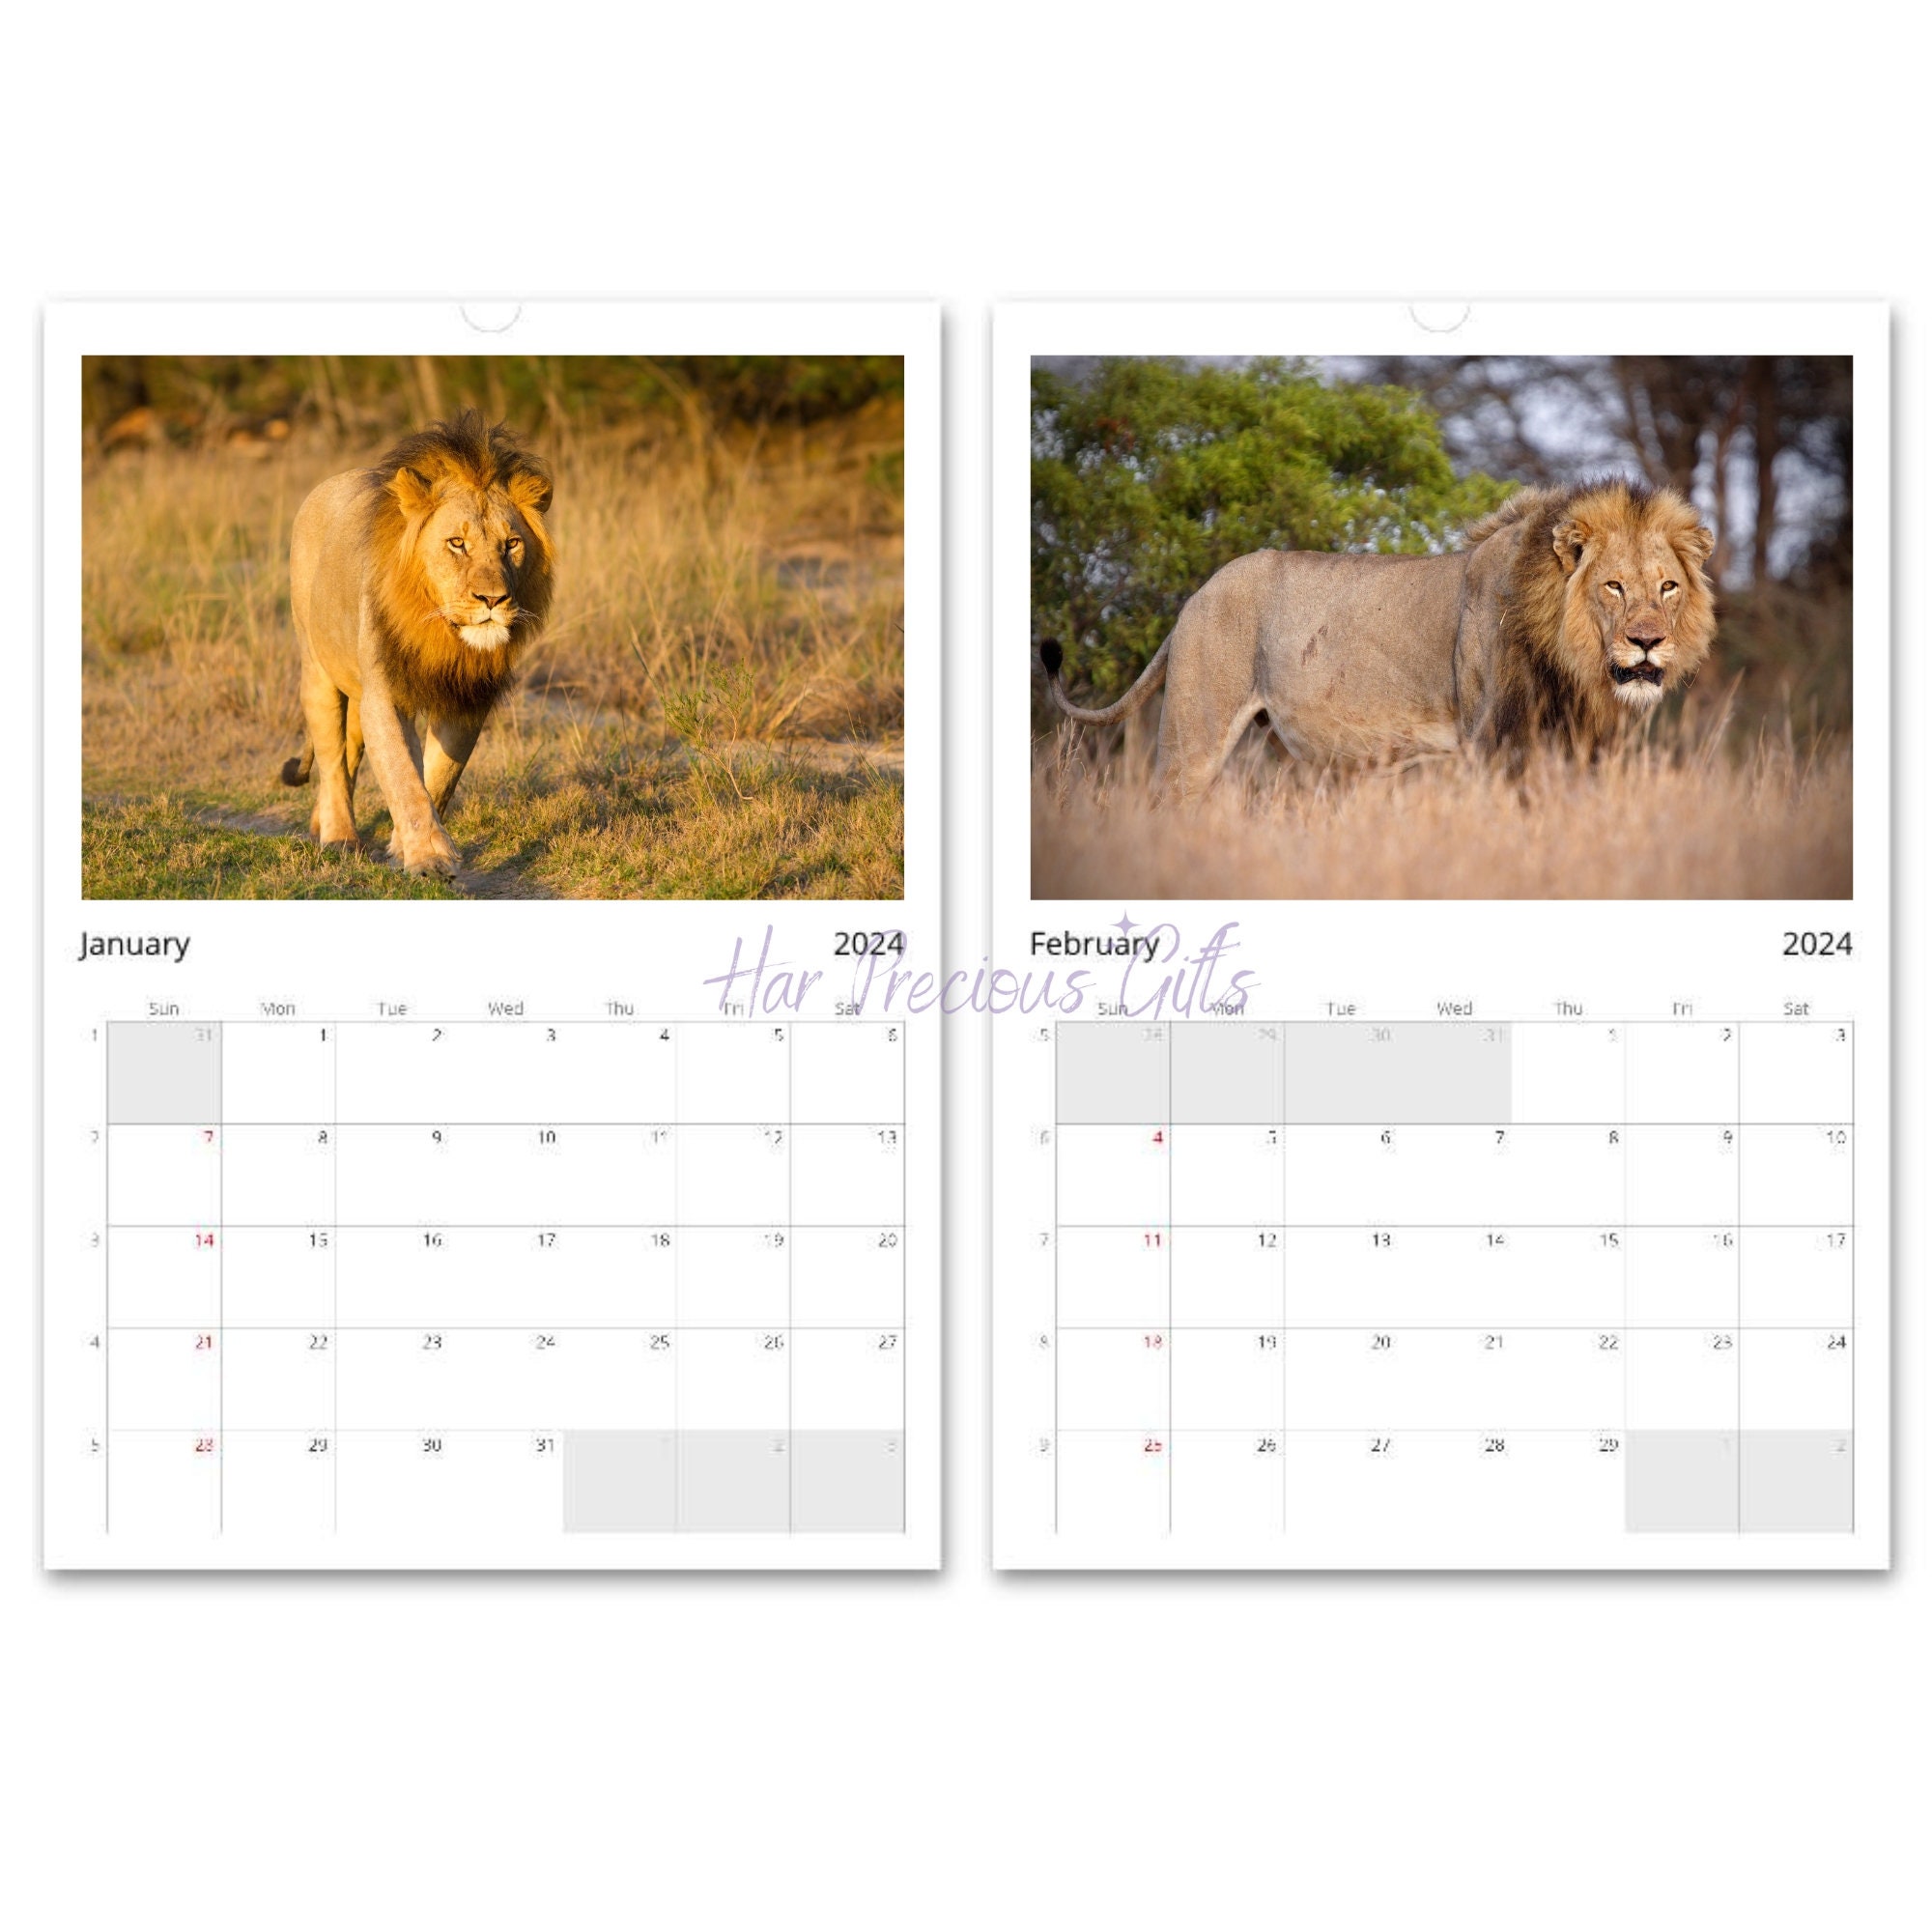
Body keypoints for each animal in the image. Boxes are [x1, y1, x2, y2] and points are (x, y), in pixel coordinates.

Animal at [279, 408, 556, 874]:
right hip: (317, 668)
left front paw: (402, 846)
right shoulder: (387, 695)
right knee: (332, 759)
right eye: (457, 543)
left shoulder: (468, 700)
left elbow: (437, 778)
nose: (493, 599)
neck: (443, 635)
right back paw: (338, 836)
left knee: (348, 752)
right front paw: (428, 858)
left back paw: (322, 823)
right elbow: (404, 777)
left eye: (512, 543)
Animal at [1039, 477, 1716, 798]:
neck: (1569, 661)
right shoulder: (1490, 742)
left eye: (1667, 588)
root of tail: (1195, 596)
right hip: (1193, 736)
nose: (1649, 643)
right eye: (1613, 587)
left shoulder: (1574, 750)